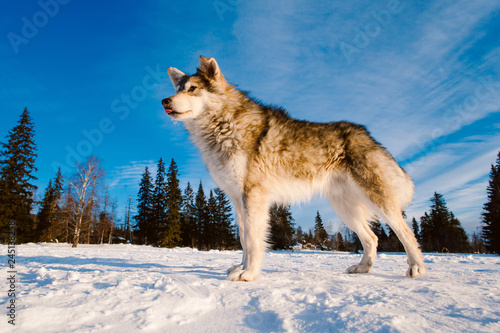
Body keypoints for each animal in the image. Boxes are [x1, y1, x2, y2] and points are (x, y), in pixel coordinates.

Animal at [163, 56, 426, 280]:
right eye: (177, 89)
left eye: (192, 89)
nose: (165, 101)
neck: (223, 126)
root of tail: (367, 134)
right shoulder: (238, 200)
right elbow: (243, 239)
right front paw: (241, 267)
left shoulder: (253, 196)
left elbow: (253, 240)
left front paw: (248, 274)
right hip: (344, 208)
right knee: (371, 237)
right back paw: (363, 268)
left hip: (378, 202)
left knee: (406, 233)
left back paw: (416, 267)